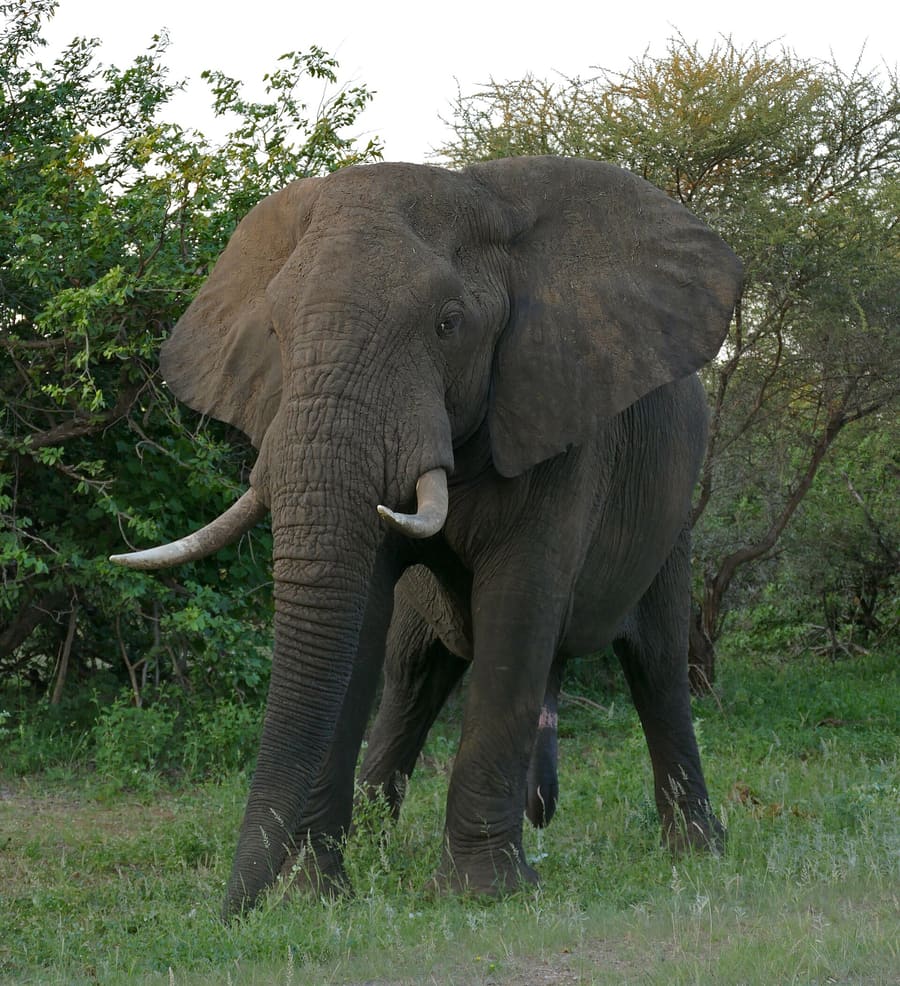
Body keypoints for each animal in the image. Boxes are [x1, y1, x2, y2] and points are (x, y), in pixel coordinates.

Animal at [111, 155, 743, 918]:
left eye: (449, 324)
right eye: (275, 332)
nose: (230, 917)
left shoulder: (558, 414)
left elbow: (519, 611)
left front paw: (484, 894)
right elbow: (360, 624)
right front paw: (317, 897)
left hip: (670, 512)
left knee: (657, 664)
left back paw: (698, 853)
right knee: (412, 676)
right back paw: (376, 847)